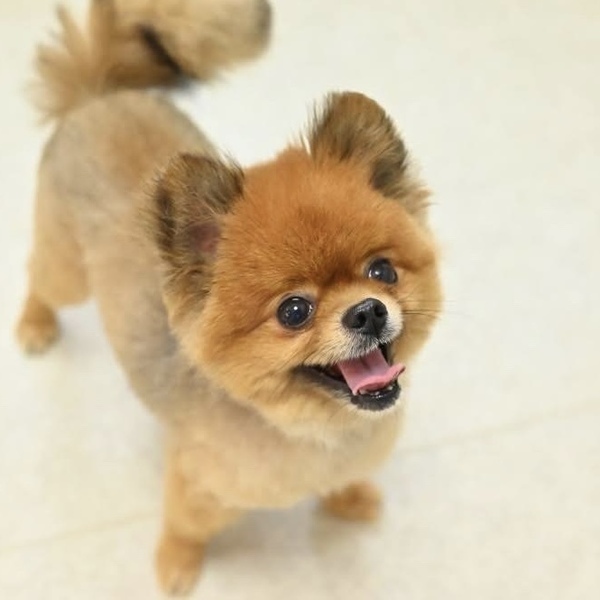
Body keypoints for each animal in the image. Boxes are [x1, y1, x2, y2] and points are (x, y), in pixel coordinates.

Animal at [15, 0, 442, 595]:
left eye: (383, 272)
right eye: (294, 311)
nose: (368, 311)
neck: (315, 429)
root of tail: (99, 94)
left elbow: (342, 482)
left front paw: (348, 496)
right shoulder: (198, 485)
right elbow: (183, 525)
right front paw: (175, 565)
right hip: (68, 269)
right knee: (40, 277)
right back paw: (34, 325)